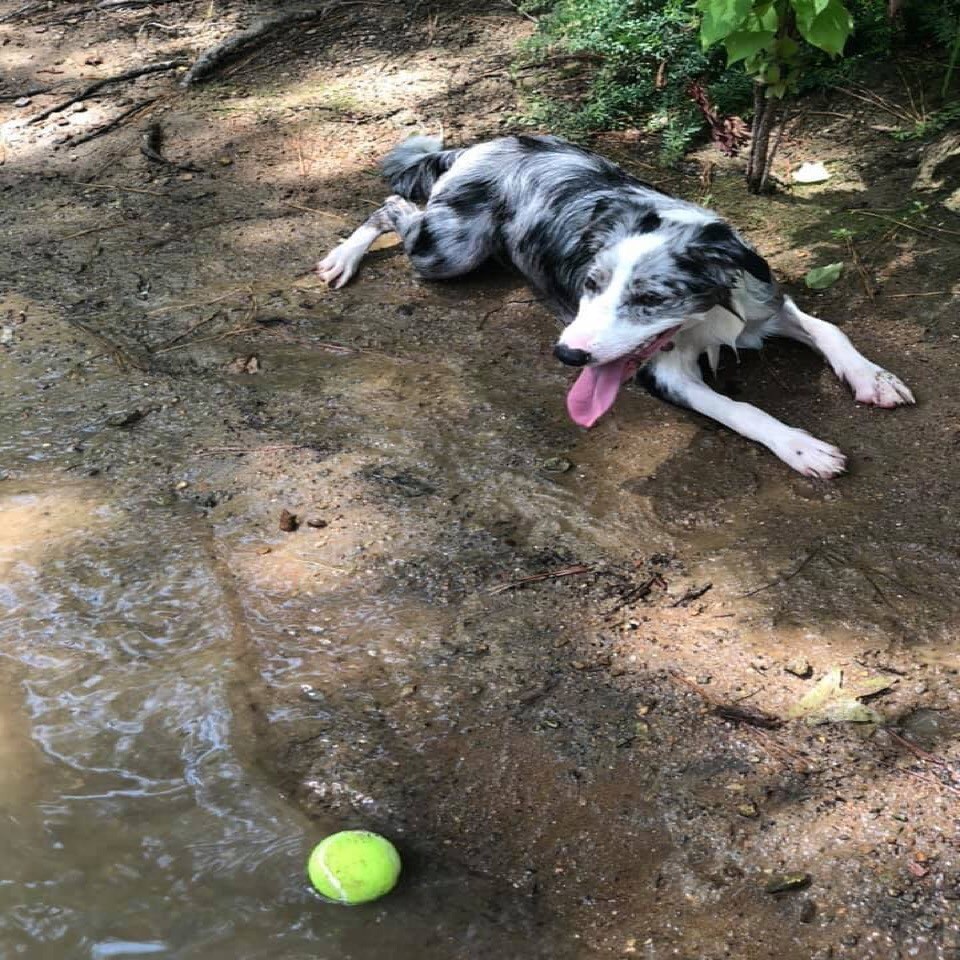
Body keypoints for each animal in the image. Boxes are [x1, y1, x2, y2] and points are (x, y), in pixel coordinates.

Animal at [316, 135, 916, 476]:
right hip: (451, 250)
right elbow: (742, 410)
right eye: (590, 284)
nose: (566, 356)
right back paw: (341, 257)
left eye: (650, 299)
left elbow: (831, 329)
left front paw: (874, 377)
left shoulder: (761, 300)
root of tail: (474, 146)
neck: (707, 316)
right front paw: (800, 447)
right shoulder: (666, 375)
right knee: (390, 204)